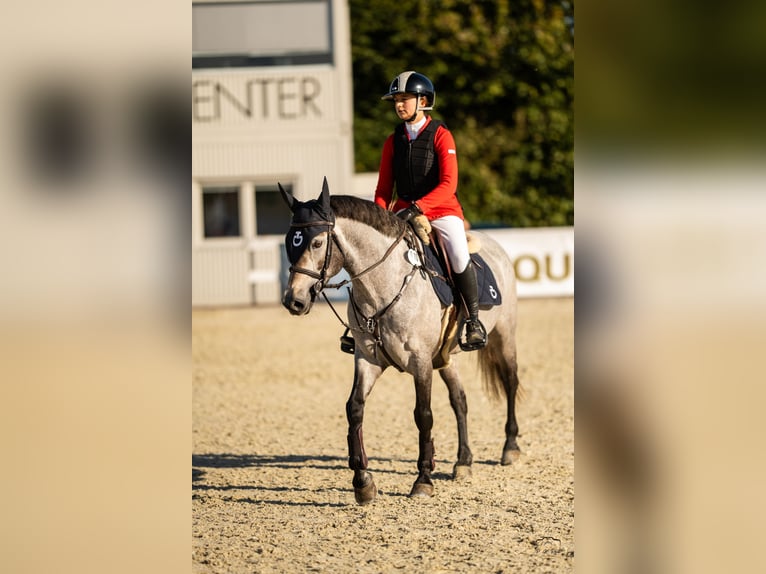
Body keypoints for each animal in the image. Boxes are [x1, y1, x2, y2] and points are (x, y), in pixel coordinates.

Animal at [280, 177, 522, 505]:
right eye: (288, 241)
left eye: (317, 243)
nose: (294, 300)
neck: (383, 285)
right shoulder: (368, 359)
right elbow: (355, 408)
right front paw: (363, 482)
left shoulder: (419, 362)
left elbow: (423, 415)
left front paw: (423, 479)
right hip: (446, 357)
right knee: (460, 400)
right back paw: (463, 462)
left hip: (503, 335)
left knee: (510, 381)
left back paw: (510, 447)